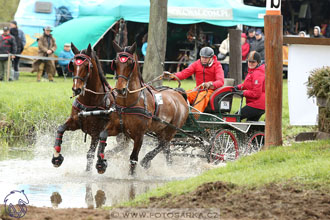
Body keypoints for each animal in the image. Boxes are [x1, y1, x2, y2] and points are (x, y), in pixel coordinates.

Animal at [51, 42, 113, 170]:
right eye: (73, 65)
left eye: (86, 66)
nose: (76, 89)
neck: (90, 101)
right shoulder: (75, 122)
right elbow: (60, 128)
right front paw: (56, 157)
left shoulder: (96, 132)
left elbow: (90, 154)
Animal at [94, 41, 189, 175]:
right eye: (115, 63)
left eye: (130, 63)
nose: (120, 89)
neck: (128, 104)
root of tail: (178, 93)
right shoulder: (117, 128)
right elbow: (103, 135)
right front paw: (101, 163)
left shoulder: (139, 135)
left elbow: (133, 158)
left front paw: (131, 176)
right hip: (160, 129)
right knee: (166, 149)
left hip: (172, 129)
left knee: (164, 144)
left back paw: (147, 160)